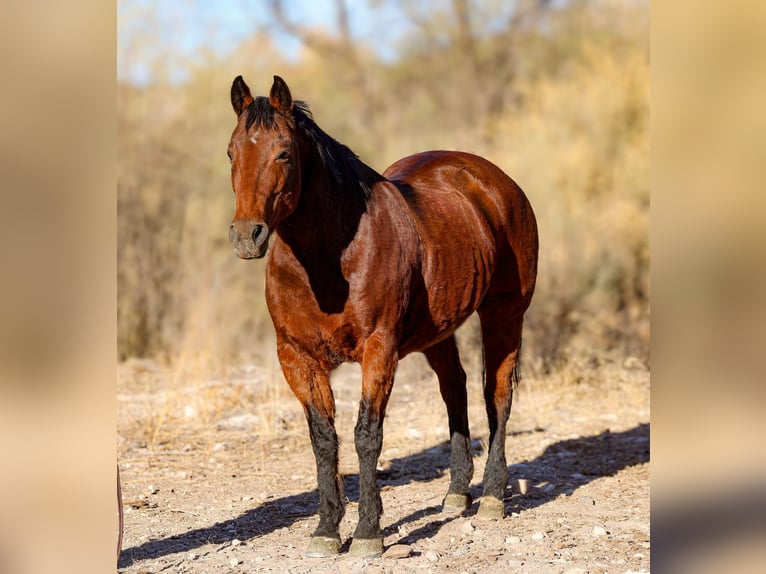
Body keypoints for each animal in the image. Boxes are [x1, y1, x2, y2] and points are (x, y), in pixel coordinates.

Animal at [227, 75, 538, 558]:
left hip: (504, 312)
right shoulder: (296, 357)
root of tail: (494, 181)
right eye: (231, 152)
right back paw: (457, 493)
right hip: (438, 331)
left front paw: (368, 532)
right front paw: (326, 530)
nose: (247, 236)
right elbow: (324, 439)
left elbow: (366, 434)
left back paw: (491, 497)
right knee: (455, 389)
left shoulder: (379, 349)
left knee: (497, 396)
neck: (332, 256)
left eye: (283, 153)